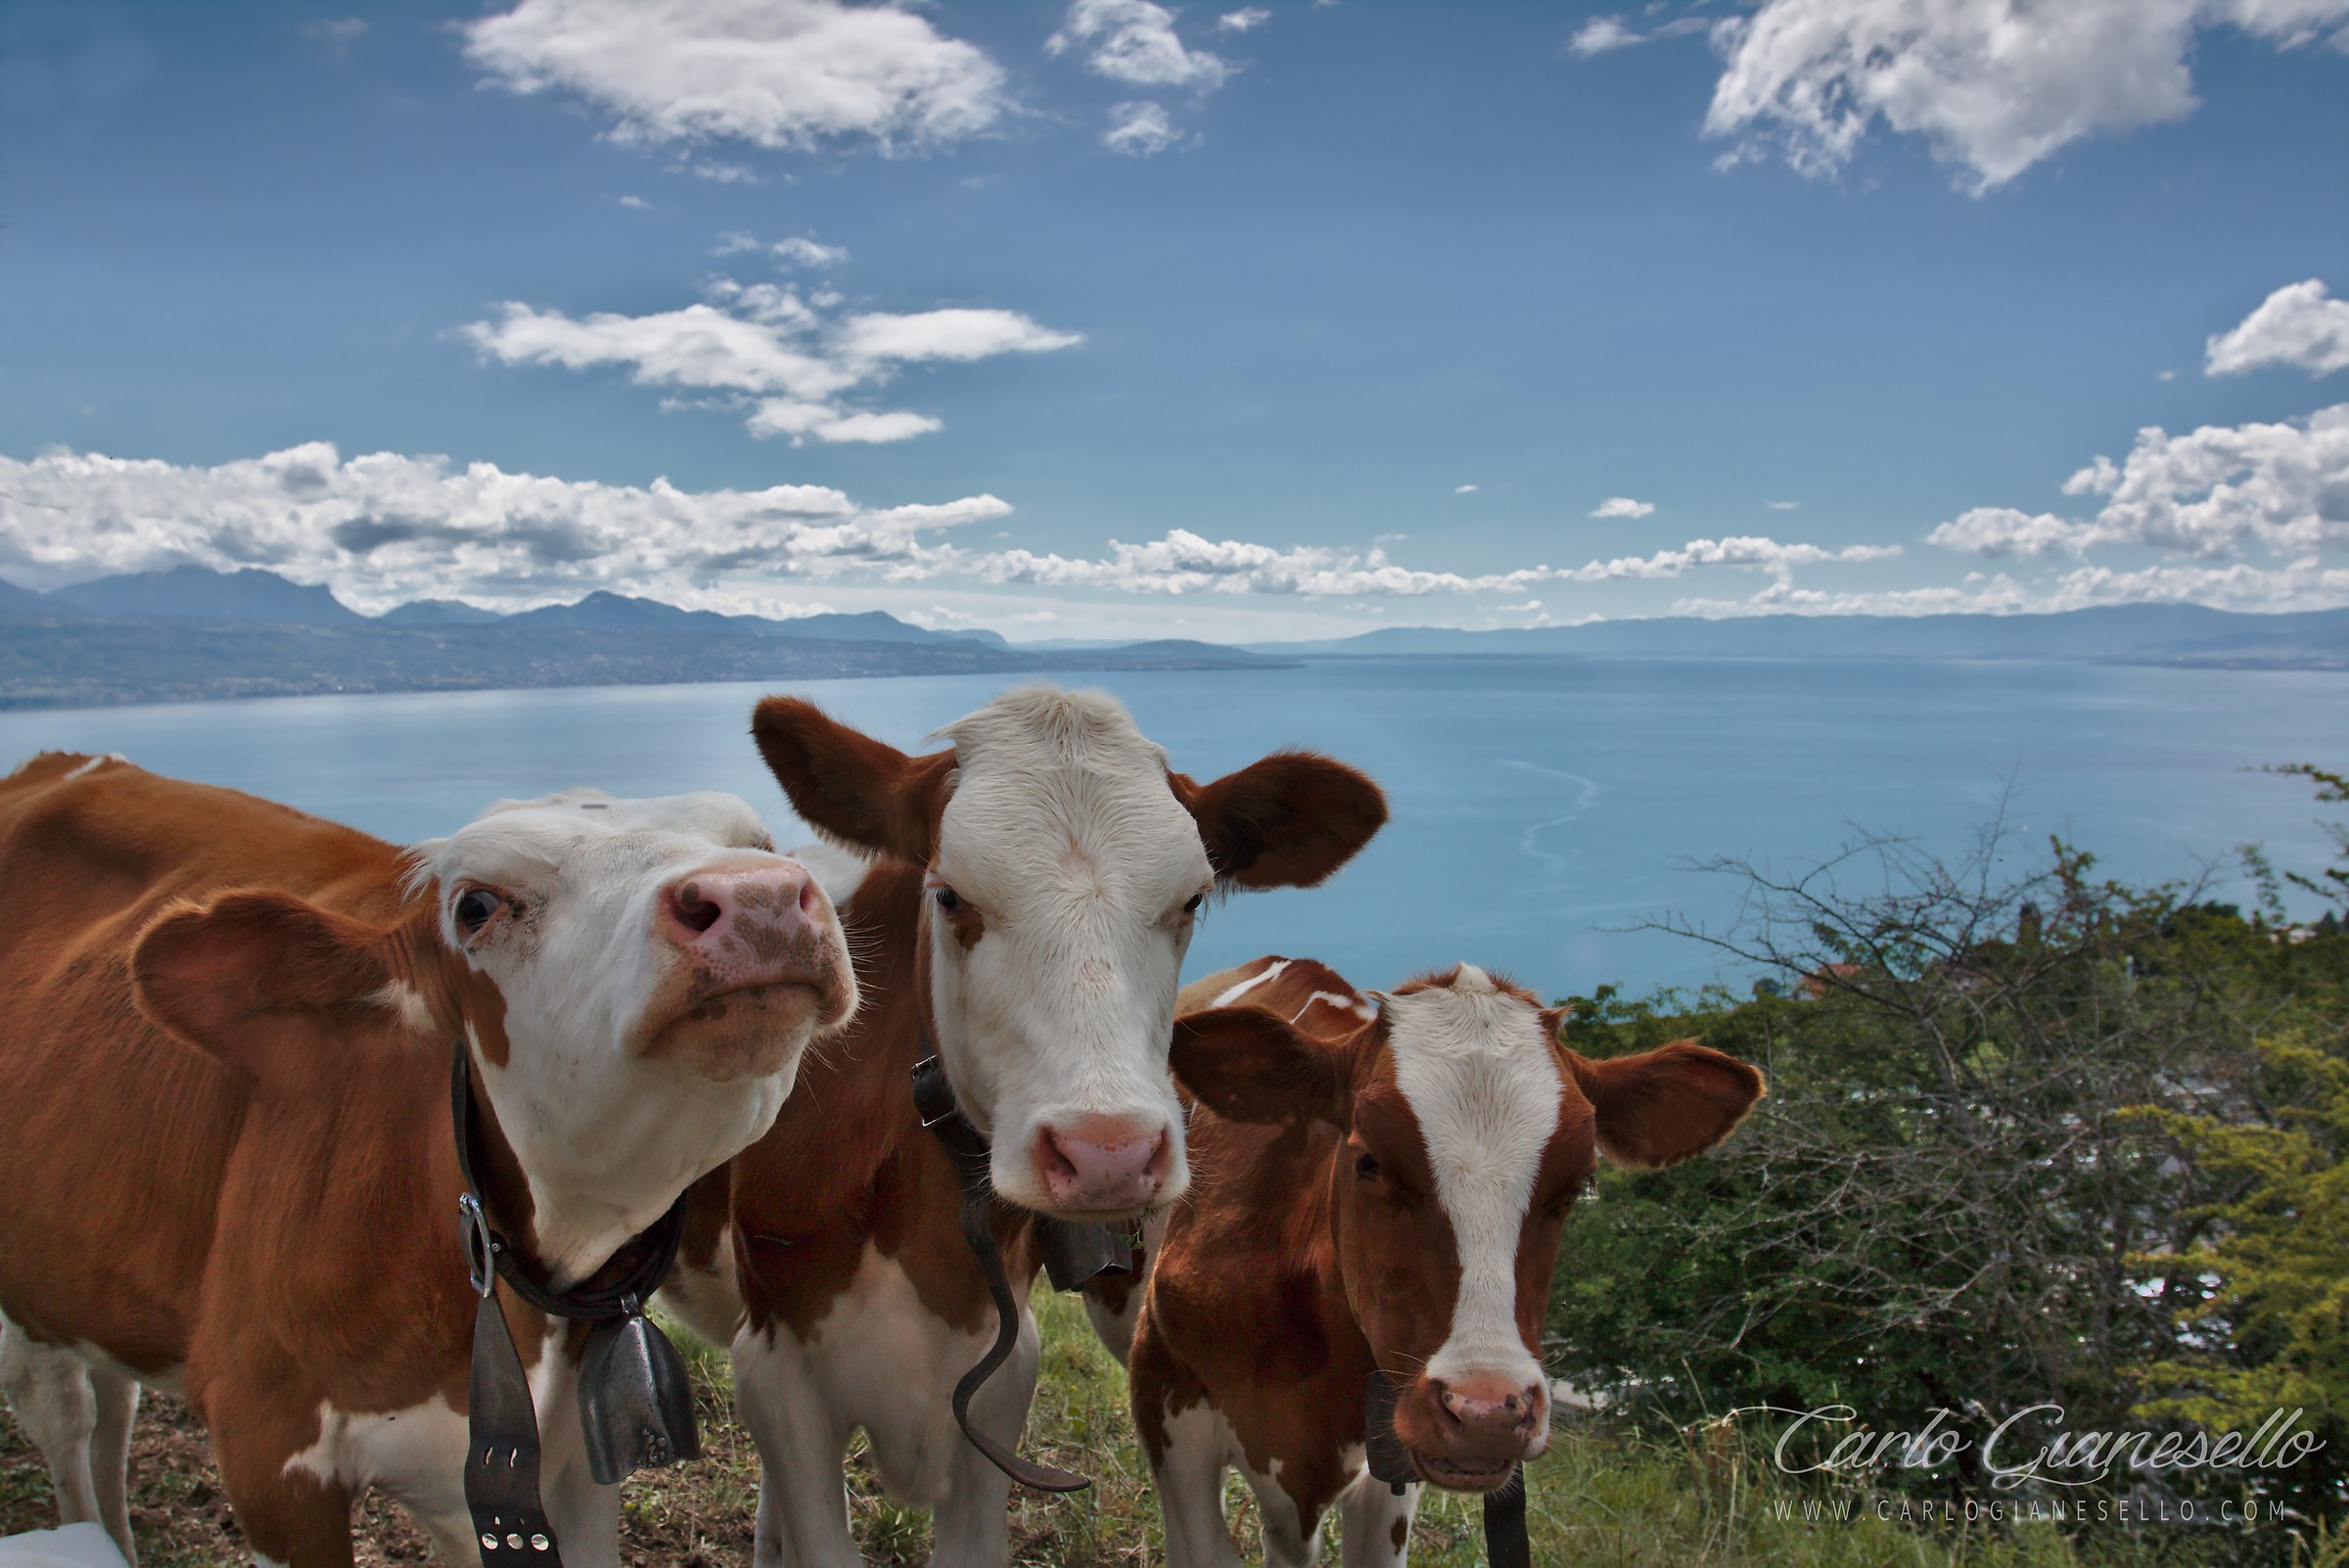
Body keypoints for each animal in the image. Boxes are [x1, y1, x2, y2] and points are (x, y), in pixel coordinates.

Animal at [0, 751, 858, 1568]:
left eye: (762, 847)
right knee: (64, 1415)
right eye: (476, 906)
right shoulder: (267, 1444)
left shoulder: (570, 1466)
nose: (757, 896)